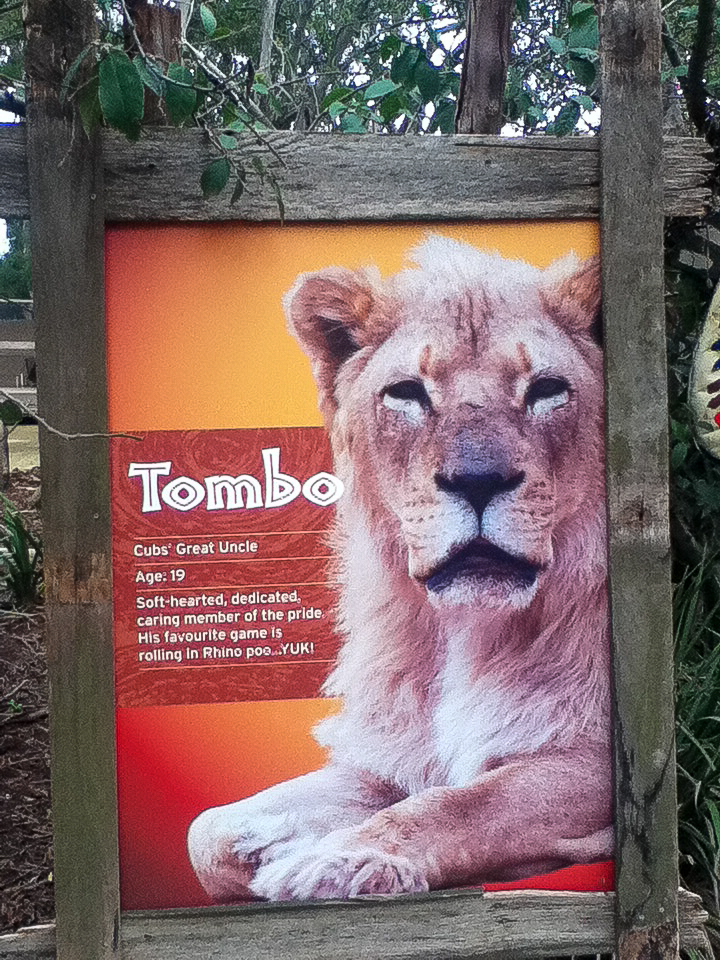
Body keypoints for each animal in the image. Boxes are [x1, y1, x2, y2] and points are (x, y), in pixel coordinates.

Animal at [187, 235, 612, 902]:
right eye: (408, 393)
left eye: (546, 389)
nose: (478, 480)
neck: (466, 631)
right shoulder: (390, 756)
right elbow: (207, 831)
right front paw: (276, 845)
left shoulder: (601, 758)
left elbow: (465, 805)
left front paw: (341, 858)